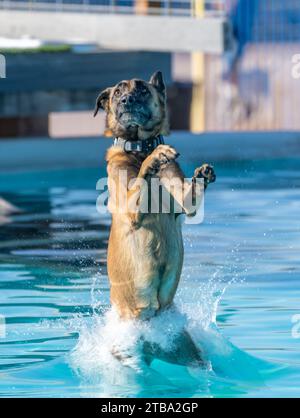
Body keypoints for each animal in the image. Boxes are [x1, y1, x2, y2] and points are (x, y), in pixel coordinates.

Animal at [95, 72, 214, 366]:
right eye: (117, 94)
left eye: (141, 89)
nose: (126, 100)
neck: (138, 149)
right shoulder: (130, 209)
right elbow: (142, 178)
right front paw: (155, 158)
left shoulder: (184, 202)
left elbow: (190, 195)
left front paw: (201, 174)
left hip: (186, 349)